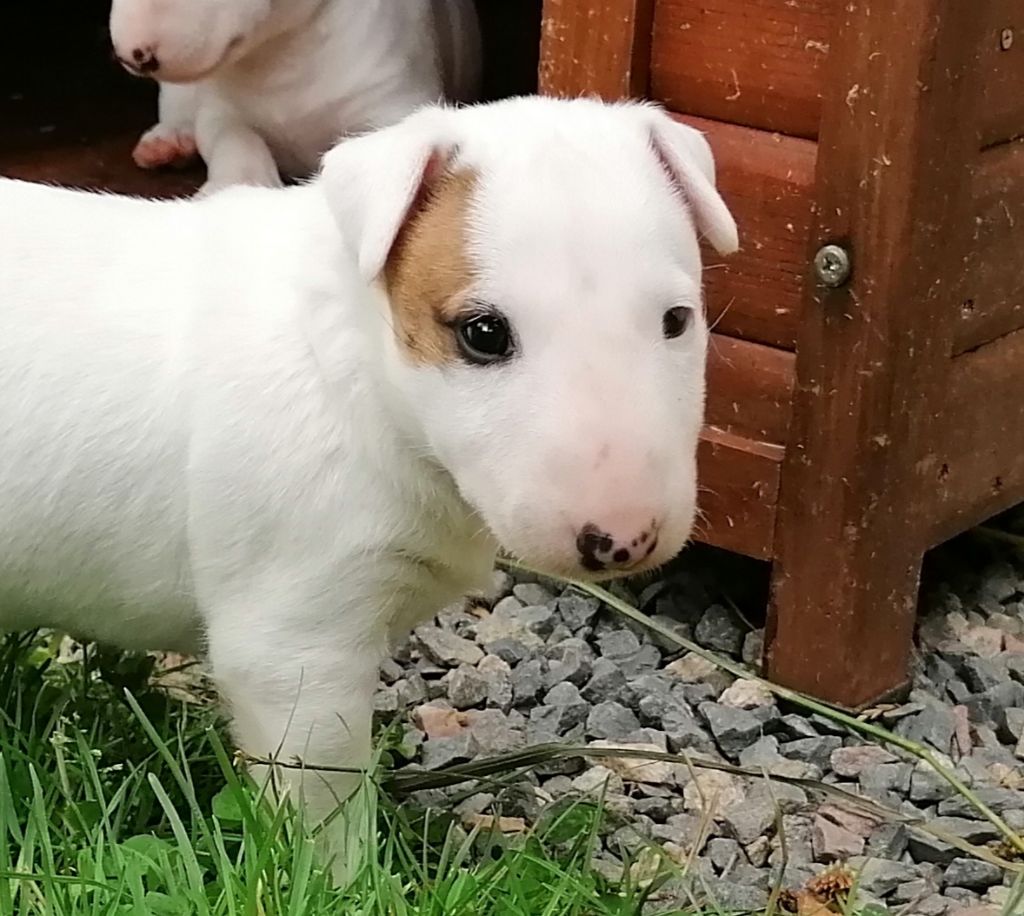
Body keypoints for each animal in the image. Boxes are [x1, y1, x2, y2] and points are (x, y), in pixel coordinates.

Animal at [0, 96, 738, 881]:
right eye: (482, 333)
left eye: (677, 320)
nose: (623, 539)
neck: (354, 366)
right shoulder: (294, 645)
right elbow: (325, 802)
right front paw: (348, 882)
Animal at [109, 0, 480, 193]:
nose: (133, 55)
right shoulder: (220, 109)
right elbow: (233, 138)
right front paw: (236, 185)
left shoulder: (393, 95)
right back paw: (167, 142)